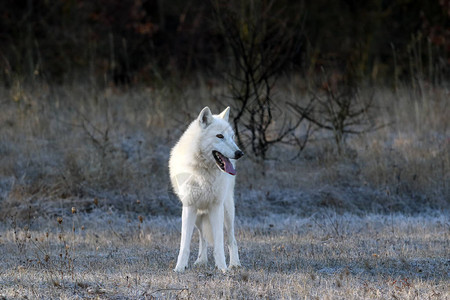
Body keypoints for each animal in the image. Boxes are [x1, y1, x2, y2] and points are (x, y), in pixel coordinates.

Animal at [168, 107, 243, 272]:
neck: (203, 172)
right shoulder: (189, 207)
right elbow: (185, 244)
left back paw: (235, 264)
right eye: (220, 136)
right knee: (203, 238)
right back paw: (201, 261)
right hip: (198, 215)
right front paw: (179, 268)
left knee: (231, 239)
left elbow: (220, 244)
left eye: (232, 137)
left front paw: (223, 269)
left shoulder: (216, 207)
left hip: (227, 211)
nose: (239, 153)